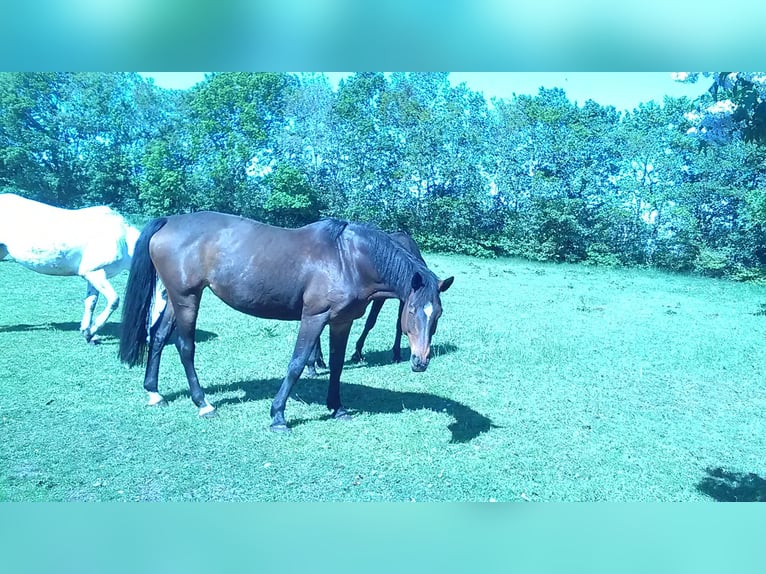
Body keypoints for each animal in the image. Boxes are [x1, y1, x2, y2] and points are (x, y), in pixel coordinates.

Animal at [0, 193, 140, 342]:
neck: (123, 240)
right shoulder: (96, 272)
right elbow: (114, 301)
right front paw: (93, 329)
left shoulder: (93, 274)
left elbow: (91, 302)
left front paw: (86, 331)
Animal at [306, 231, 439, 375]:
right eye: (413, 311)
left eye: (438, 315)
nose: (421, 361)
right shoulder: (380, 298)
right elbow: (370, 322)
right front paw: (357, 353)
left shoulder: (403, 300)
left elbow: (399, 324)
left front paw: (396, 354)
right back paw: (318, 361)